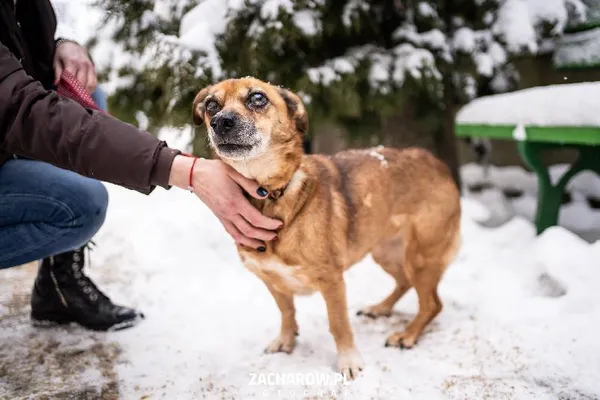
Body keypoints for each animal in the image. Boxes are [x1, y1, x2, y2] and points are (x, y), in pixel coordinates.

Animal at [192, 77, 460, 378]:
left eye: (258, 98)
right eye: (211, 105)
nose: (221, 122)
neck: (270, 196)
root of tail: (436, 162)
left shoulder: (332, 280)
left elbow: (338, 323)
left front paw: (349, 361)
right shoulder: (271, 279)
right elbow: (287, 312)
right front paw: (286, 340)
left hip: (421, 256)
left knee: (432, 303)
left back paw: (407, 334)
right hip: (385, 251)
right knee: (404, 282)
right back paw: (380, 309)